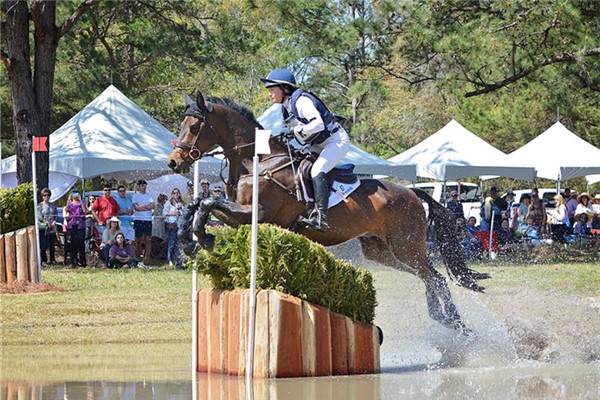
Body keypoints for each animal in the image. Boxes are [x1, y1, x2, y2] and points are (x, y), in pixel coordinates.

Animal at [168, 92, 488, 332]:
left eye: (194, 127)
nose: (173, 162)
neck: (257, 161)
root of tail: (412, 192)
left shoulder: (256, 213)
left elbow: (207, 203)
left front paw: (200, 239)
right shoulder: (239, 217)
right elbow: (199, 204)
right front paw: (191, 238)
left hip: (406, 246)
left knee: (436, 277)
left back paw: (455, 323)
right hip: (382, 251)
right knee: (428, 277)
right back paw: (443, 319)